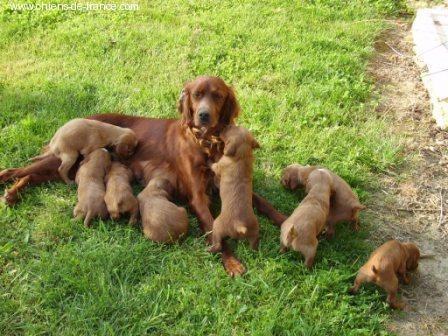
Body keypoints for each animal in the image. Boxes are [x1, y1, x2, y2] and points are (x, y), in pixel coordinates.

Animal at [0, 77, 288, 276]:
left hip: (67, 165)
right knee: (17, 171)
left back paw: (13, 195)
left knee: (33, 176)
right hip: (66, 157)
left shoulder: (228, 183)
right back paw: (9, 189)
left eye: (216, 96)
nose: (203, 115)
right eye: (197, 95)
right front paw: (231, 262)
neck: (205, 142)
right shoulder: (197, 195)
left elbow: (264, 203)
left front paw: (284, 219)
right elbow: (212, 227)